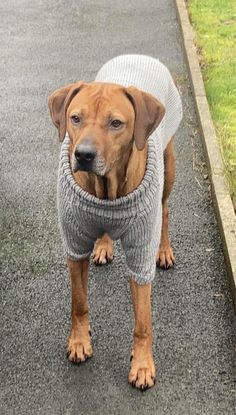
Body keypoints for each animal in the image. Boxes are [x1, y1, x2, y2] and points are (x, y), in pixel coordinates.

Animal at [48, 54, 181, 390]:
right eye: (75, 118)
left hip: (168, 167)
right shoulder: (75, 244)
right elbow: (79, 301)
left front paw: (143, 363)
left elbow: (143, 320)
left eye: (116, 123)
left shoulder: (140, 252)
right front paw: (79, 341)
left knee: (165, 210)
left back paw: (164, 250)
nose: (83, 155)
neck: (107, 191)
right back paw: (105, 245)